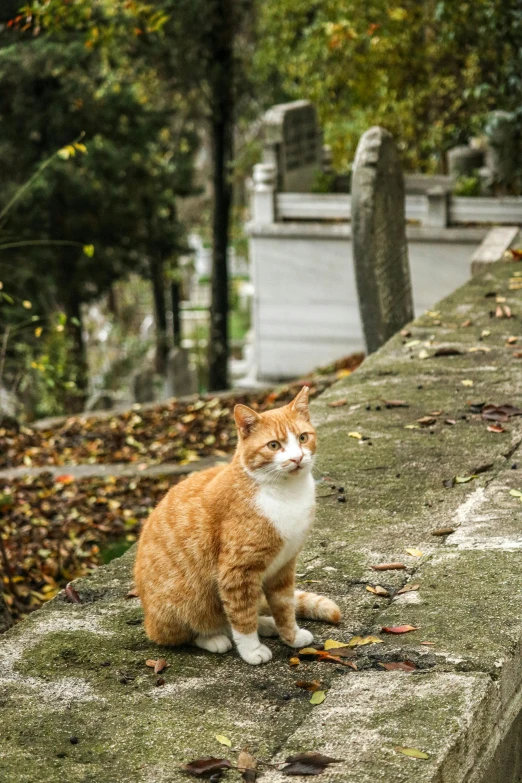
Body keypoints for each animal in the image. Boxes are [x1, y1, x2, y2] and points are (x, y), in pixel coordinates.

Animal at [133, 388, 342, 664]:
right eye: (274, 445)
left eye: (303, 437)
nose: (297, 458)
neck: (286, 493)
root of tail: (148, 617)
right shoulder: (238, 572)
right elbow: (242, 617)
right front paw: (252, 650)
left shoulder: (284, 567)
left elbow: (284, 606)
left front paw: (291, 635)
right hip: (183, 603)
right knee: (188, 631)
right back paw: (214, 638)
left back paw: (266, 623)